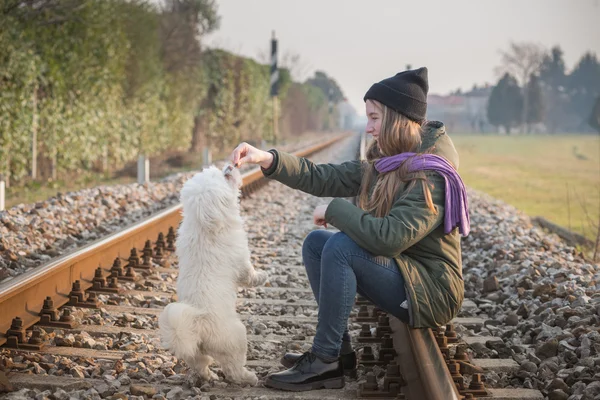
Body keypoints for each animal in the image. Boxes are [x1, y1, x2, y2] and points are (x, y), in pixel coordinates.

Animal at [158, 165, 266, 384]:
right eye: (223, 176)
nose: (229, 166)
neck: (203, 226)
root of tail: (198, 324)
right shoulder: (242, 262)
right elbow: (250, 275)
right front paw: (262, 276)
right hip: (236, 338)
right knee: (234, 370)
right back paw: (249, 378)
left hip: (195, 352)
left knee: (200, 366)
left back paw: (210, 376)